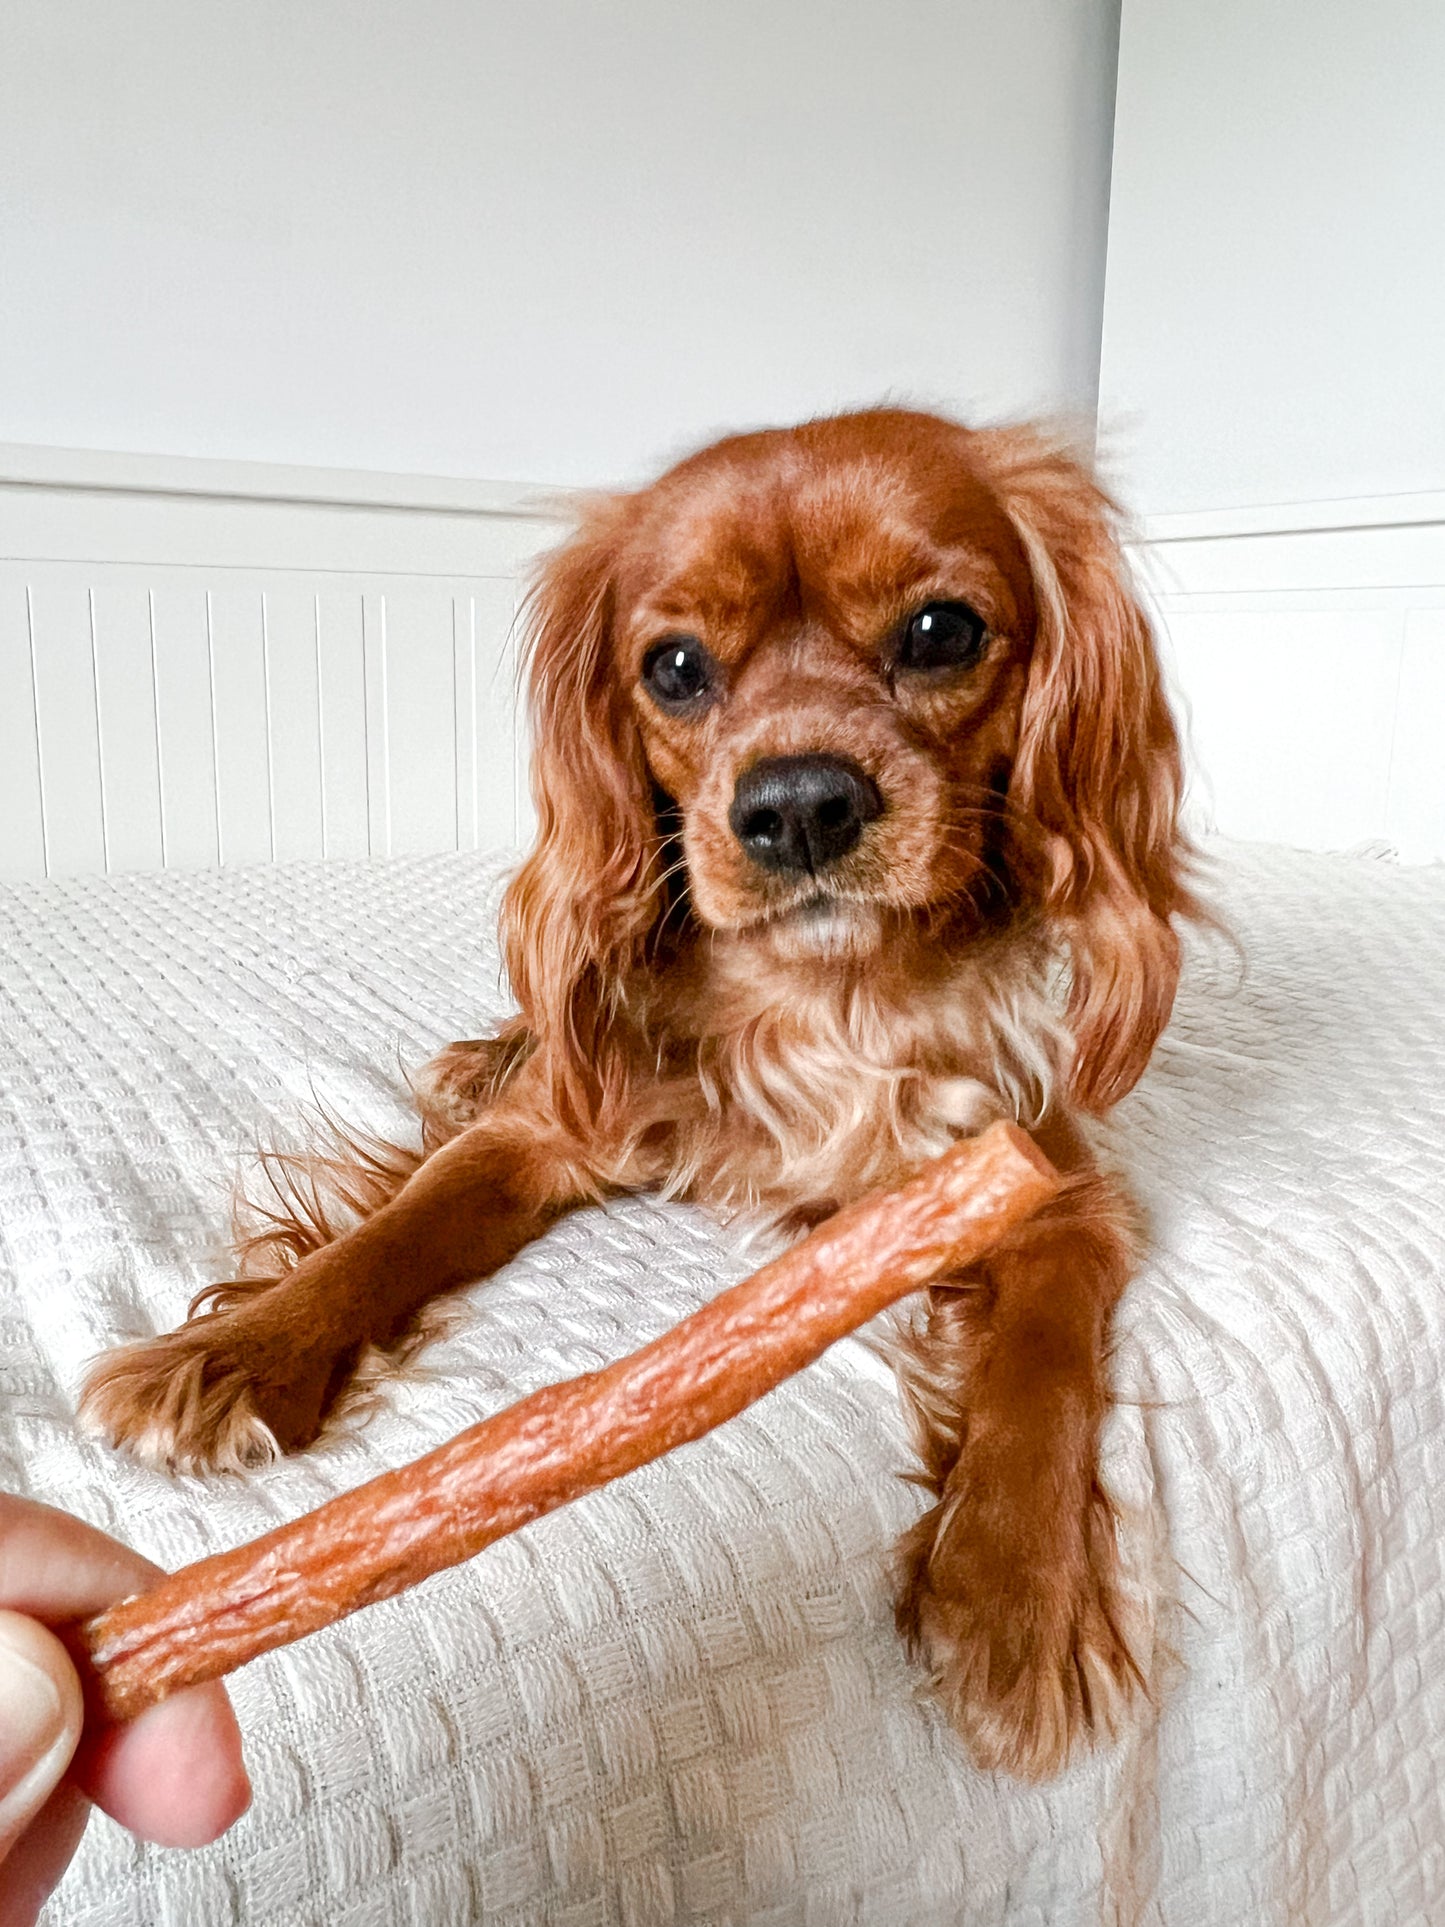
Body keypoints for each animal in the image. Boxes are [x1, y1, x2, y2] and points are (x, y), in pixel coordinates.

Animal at [84, 406, 1202, 1772]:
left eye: (941, 632)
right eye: (673, 667)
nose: (797, 803)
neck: (819, 999)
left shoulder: (1046, 1184)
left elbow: (1042, 1369)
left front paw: (1014, 1599)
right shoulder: (537, 1138)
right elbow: (382, 1239)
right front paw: (234, 1353)